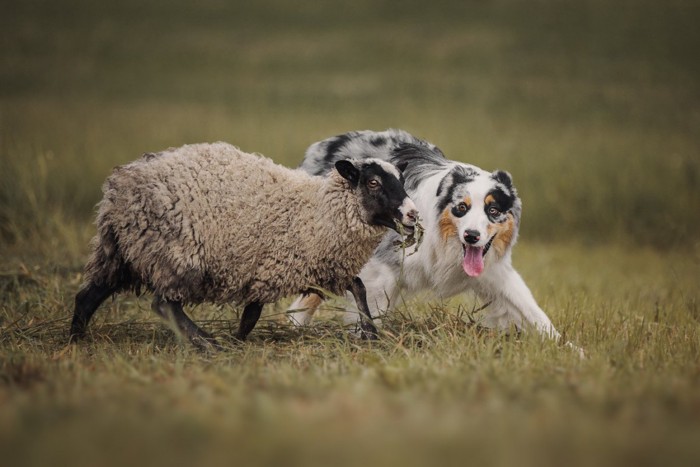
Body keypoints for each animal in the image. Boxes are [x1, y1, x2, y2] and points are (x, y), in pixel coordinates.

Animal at [67, 141, 416, 350]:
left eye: (401, 180)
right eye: (373, 183)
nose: (413, 214)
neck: (319, 209)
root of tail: (119, 188)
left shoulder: (311, 266)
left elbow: (357, 286)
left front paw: (370, 332)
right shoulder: (281, 266)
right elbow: (254, 312)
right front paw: (235, 341)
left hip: (120, 254)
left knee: (87, 297)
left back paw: (75, 341)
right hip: (174, 254)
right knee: (165, 305)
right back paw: (206, 343)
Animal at [288, 128, 568, 344]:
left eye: (493, 211)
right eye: (461, 207)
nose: (472, 236)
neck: (445, 240)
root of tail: (320, 147)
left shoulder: (495, 273)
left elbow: (532, 311)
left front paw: (568, 350)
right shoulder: (380, 273)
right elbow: (370, 312)